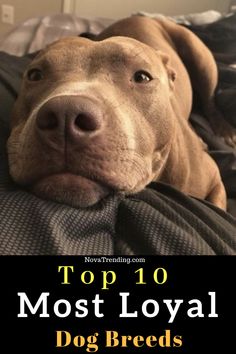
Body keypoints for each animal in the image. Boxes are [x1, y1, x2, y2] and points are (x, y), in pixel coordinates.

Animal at [7, 16, 227, 209]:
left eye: (142, 77)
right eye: (35, 75)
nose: (65, 114)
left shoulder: (215, 179)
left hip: (201, 57)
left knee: (210, 100)